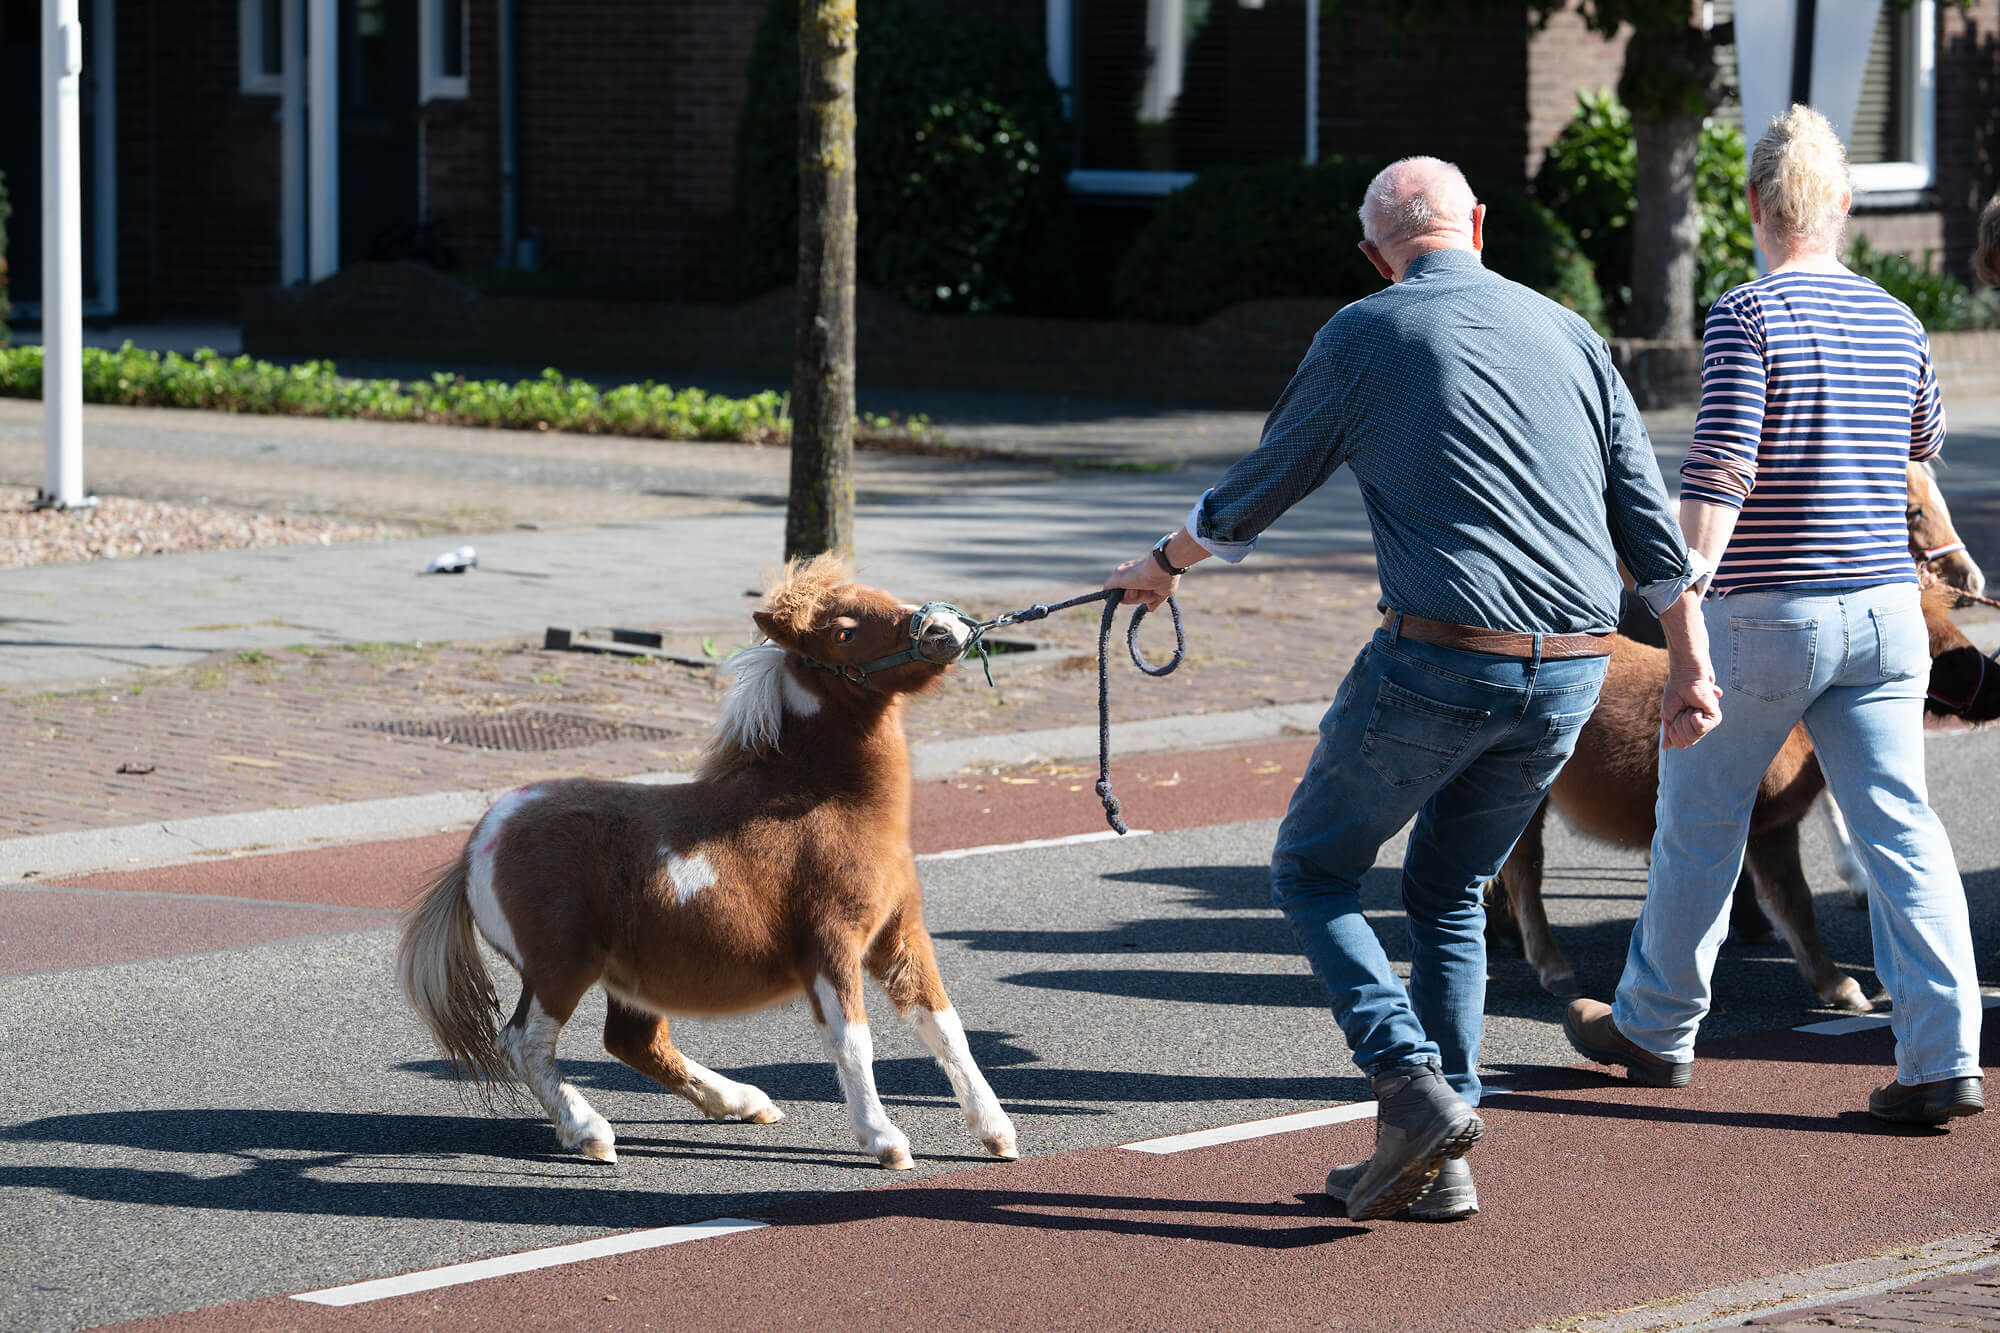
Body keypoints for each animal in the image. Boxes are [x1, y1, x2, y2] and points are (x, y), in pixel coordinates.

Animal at [397, 554, 1019, 1170]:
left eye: (887, 597)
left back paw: (743, 1103)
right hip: (561, 965)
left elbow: (945, 1026)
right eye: (844, 632)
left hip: (626, 975)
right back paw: (590, 1132)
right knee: (525, 1042)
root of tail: (478, 846)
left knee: (633, 1041)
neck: (826, 802)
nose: (947, 630)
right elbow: (852, 1038)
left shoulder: (900, 932)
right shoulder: (831, 941)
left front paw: (997, 1134)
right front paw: (884, 1140)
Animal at [1485, 582, 2000, 1009]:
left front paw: (1833, 984)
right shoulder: (1757, 826)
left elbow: (1793, 901)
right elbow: (1770, 900)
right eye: (1949, 657)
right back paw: (1551, 967)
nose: (1994, 685)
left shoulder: (1774, 827)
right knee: (1524, 872)